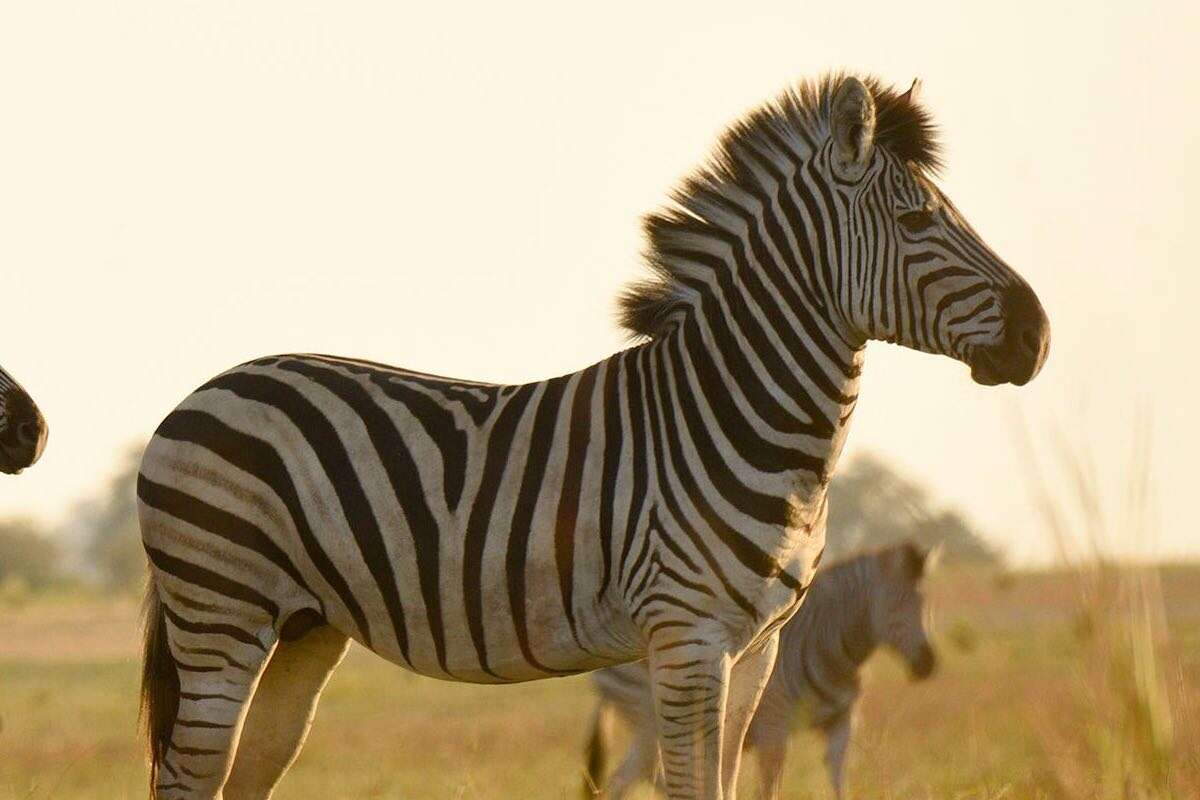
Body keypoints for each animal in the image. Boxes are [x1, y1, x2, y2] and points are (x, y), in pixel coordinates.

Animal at [580, 542, 936, 796]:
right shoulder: (774, 731)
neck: (836, 651)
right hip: (648, 717)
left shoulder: (842, 726)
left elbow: (838, 784)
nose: (928, 664)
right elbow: (769, 788)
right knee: (640, 775)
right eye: (899, 603)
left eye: (926, 603)